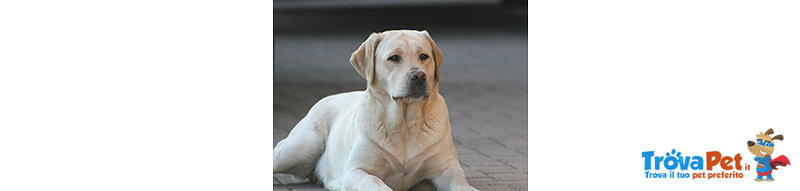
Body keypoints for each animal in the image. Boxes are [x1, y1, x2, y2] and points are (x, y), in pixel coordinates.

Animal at [272, 30, 478, 191]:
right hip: (301, 146)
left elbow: (461, 183)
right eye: (394, 58)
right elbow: (376, 183)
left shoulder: (447, 169)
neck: (404, 124)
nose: (419, 76)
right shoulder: (356, 171)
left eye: (424, 56)